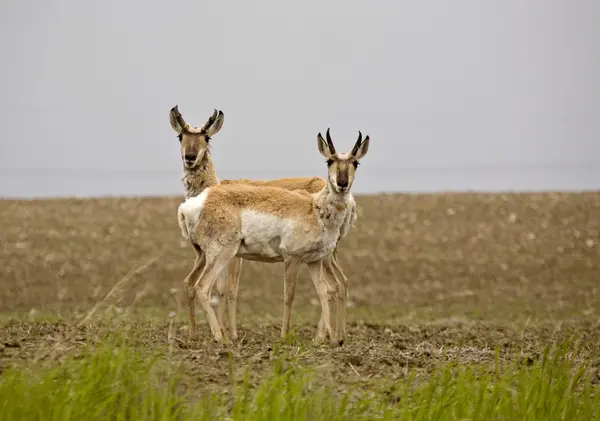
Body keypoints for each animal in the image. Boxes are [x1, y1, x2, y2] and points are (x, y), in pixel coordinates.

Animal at [169, 105, 356, 342]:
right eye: (180, 136)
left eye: (206, 136)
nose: (190, 157)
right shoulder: (208, 254)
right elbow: (201, 286)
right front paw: (206, 334)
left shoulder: (233, 257)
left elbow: (227, 290)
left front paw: (230, 334)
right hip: (328, 254)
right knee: (341, 284)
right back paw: (336, 336)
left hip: (325, 255)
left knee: (336, 286)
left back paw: (326, 336)